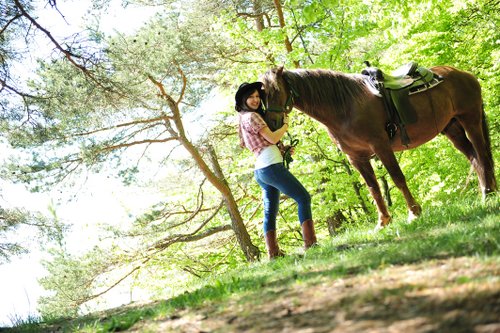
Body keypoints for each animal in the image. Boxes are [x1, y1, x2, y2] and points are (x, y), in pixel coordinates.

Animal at [262, 66, 496, 227]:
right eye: (263, 94)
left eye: (277, 91)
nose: (270, 123)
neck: (344, 107)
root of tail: (463, 74)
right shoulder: (357, 157)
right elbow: (373, 188)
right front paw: (383, 221)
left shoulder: (381, 146)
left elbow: (397, 178)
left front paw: (414, 213)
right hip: (452, 128)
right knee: (474, 158)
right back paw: (486, 192)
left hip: (471, 120)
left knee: (482, 155)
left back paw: (489, 194)